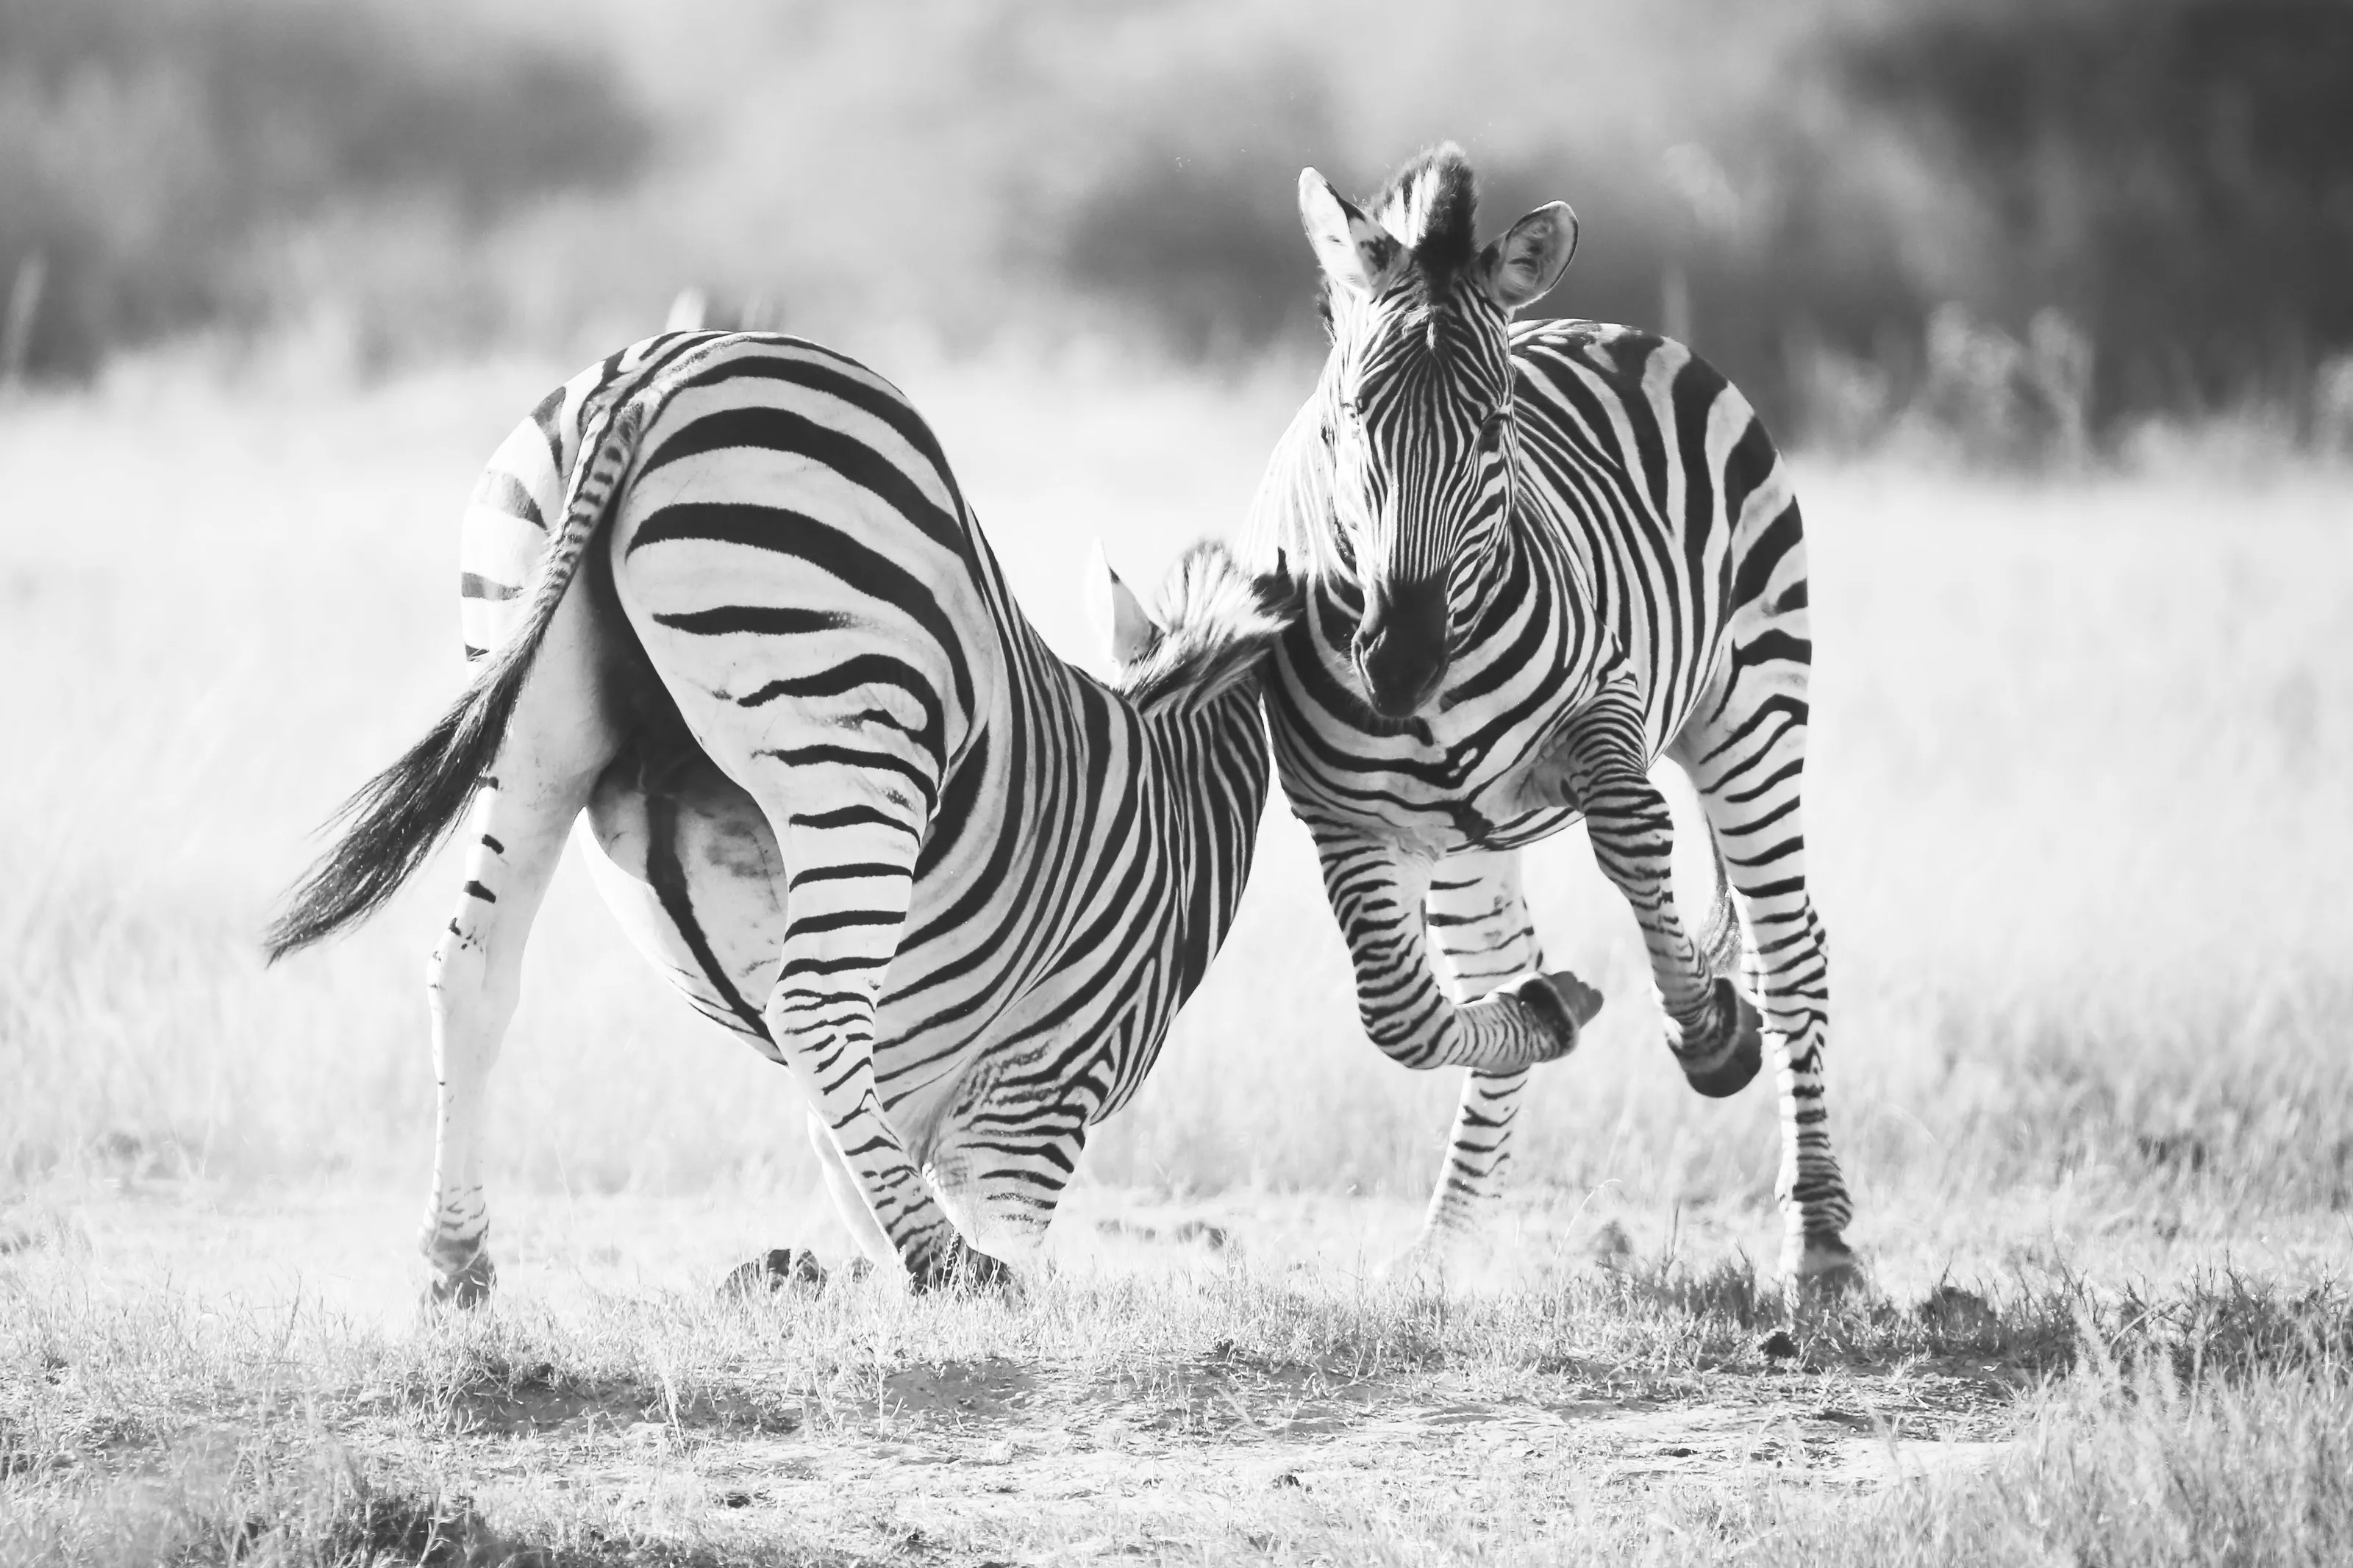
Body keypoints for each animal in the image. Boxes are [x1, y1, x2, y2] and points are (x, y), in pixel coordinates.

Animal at [266, 330, 1297, 1302]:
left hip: (533, 733)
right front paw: (927, 1248)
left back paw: (459, 1260)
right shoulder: (1061, 1040)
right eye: (1155, 989)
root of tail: (646, 379)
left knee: (472, 968)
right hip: (851, 733)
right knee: (810, 1008)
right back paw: (948, 1265)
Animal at [1239, 145, 1857, 1290]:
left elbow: (1633, 836)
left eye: (1494, 428)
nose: (1401, 661)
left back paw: (1824, 1239)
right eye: (1347, 421)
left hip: (1754, 711)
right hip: (1466, 844)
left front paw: (1709, 1035)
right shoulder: (1342, 819)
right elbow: (1398, 1013)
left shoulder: (1603, 704)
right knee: (1490, 967)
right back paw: (1448, 1236)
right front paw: (1548, 1009)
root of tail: (1606, 324)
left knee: (1790, 949)